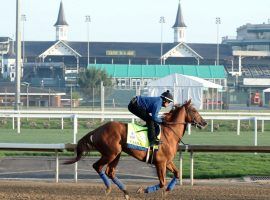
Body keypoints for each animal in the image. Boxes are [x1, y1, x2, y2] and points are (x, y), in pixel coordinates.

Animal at [63, 99, 207, 199]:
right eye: (194, 110)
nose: (204, 123)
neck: (169, 133)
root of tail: (97, 129)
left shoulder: (167, 161)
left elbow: (177, 174)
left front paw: (166, 192)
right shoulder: (160, 162)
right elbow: (162, 182)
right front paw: (143, 190)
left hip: (117, 154)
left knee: (110, 172)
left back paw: (125, 192)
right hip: (110, 153)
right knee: (97, 167)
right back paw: (108, 188)